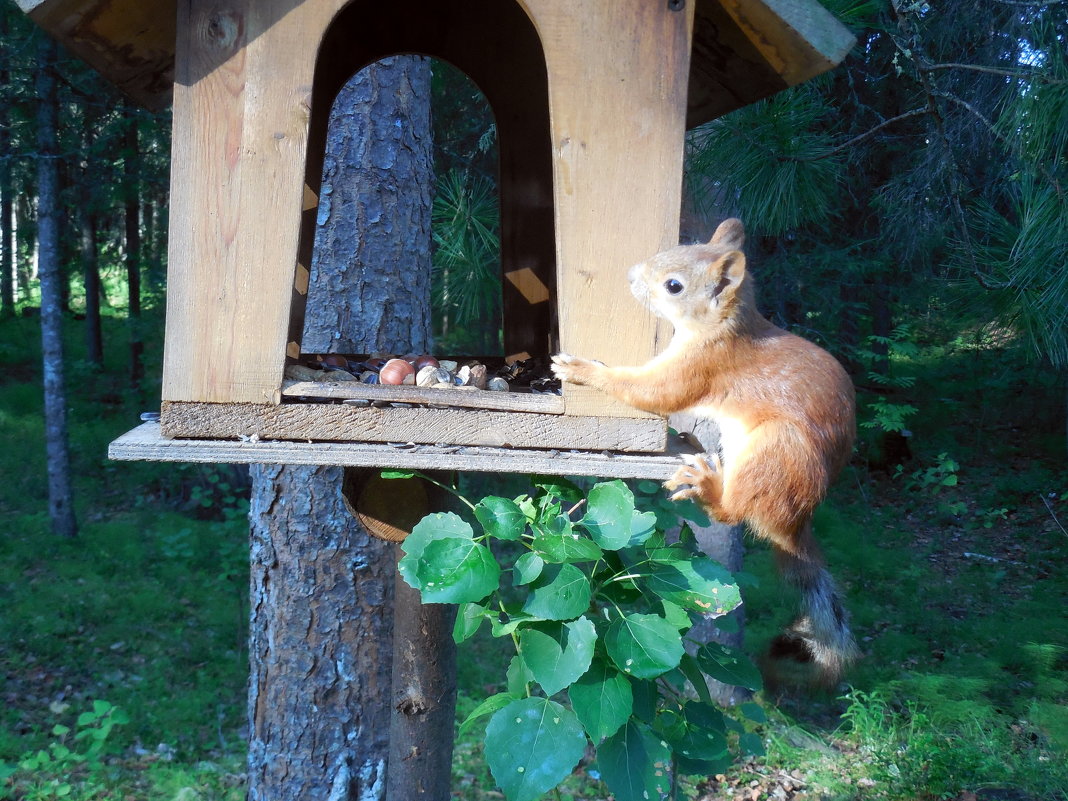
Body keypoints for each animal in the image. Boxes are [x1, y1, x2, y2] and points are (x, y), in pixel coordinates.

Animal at [551, 217, 858, 683]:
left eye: (674, 286)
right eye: (681, 245)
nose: (631, 275)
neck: (721, 327)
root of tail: (795, 525)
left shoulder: (702, 367)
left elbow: (653, 392)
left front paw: (582, 369)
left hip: (778, 450)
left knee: (734, 512)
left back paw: (707, 485)